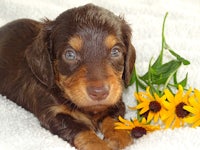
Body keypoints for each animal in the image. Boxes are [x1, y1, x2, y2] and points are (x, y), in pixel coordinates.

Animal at [0, 3, 136, 150]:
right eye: (70, 54)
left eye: (115, 52)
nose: (99, 93)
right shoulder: (53, 113)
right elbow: (80, 129)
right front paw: (99, 145)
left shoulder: (116, 100)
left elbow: (114, 118)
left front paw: (118, 136)